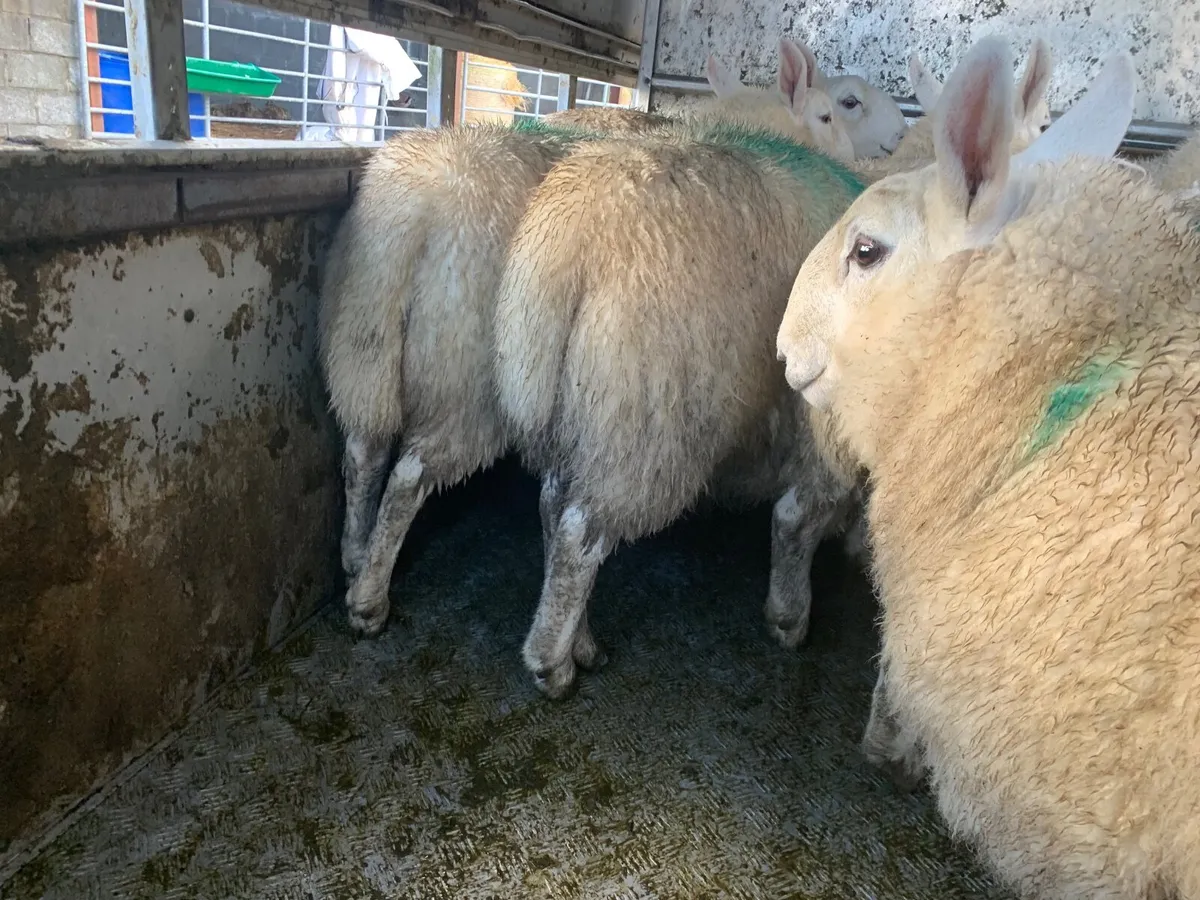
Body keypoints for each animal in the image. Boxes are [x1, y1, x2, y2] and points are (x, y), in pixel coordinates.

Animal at [321, 42, 857, 638]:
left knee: (366, 449)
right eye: (831, 112)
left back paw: (356, 559)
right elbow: (799, 515)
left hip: (367, 339)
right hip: (552, 401)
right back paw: (386, 604)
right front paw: (790, 613)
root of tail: (420, 205)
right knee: (444, 487)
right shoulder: (817, 420)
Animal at [493, 95, 869, 697]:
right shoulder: (823, 429)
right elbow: (798, 517)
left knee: (553, 506)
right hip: (650, 418)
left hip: (585, 408)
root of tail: (575, 234)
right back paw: (552, 664)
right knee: (579, 532)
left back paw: (581, 642)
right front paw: (790, 616)